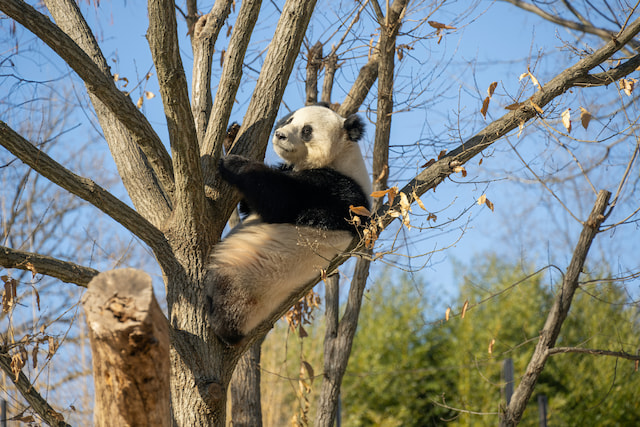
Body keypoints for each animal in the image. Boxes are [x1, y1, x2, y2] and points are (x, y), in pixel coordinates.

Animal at [206, 104, 371, 345]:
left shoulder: (341, 192)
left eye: (307, 130)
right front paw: (231, 136)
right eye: (290, 119)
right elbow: (250, 207)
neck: (342, 156)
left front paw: (234, 163)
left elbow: (279, 199)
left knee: (227, 298)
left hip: (246, 282)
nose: (280, 135)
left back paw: (217, 317)